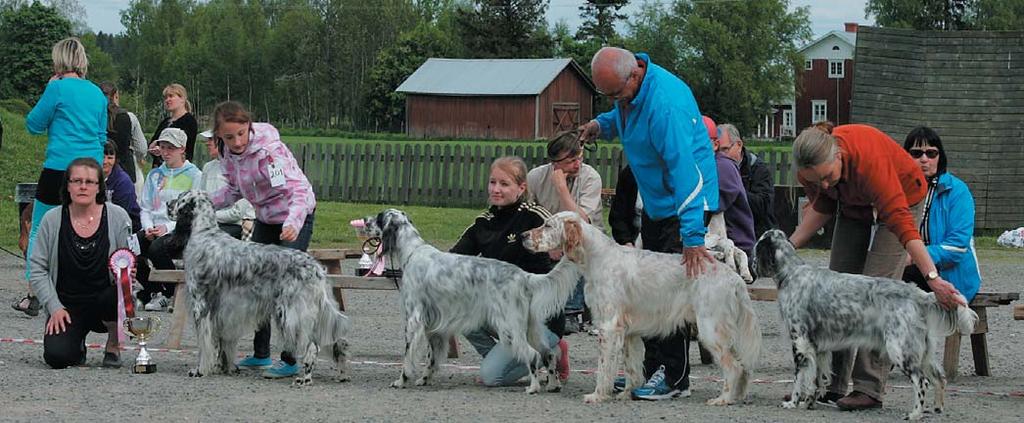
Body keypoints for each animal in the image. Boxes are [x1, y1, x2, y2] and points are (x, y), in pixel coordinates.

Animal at [169, 191, 354, 385]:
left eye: (179, 199)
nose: (167, 204)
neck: (204, 233)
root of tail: (316, 269)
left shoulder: (201, 305)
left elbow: (205, 345)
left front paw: (200, 370)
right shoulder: (221, 312)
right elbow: (220, 341)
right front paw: (223, 367)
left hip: (292, 315)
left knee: (311, 346)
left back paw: (304, 378)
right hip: (317, 313)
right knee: (336, 341)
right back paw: (342, 374)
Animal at [364, 207, 581, 393]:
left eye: (379, 217)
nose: (365, 220)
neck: (412, 253)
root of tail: (523, 276)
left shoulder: (413, 320)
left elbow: (408, 357)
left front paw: (401, 380)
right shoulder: (434, 326)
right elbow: (432, 358)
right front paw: (425, 379)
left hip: (509, 328)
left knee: (533, 355)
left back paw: (533, 387)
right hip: (530, 328)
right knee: (548, 354)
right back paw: (553, 384)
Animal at [528, 213, 761, 403]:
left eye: (547, 225)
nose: (523, 236)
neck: (598, 258)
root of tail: (732, 276)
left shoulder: (608, 327)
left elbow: (604, 367)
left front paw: (597, 395)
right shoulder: (628, 333)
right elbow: (631, 367)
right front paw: (626, 393)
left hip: (710, 329)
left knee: (733, 367)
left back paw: (723, 398)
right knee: (743, 365)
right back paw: (739, 395)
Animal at [753, 227, 974, 417]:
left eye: (755, 249)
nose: (751, 266)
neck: (791, 274)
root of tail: (917, 293)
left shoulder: (800, 341)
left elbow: (799, 377)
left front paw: (793, 402)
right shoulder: (819, 347)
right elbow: (818, 378)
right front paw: (810, 402)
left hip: (899, 348)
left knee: (922, 382)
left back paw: (914, 414)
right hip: (923, 350)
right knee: (939, 378)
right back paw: (937, 408)